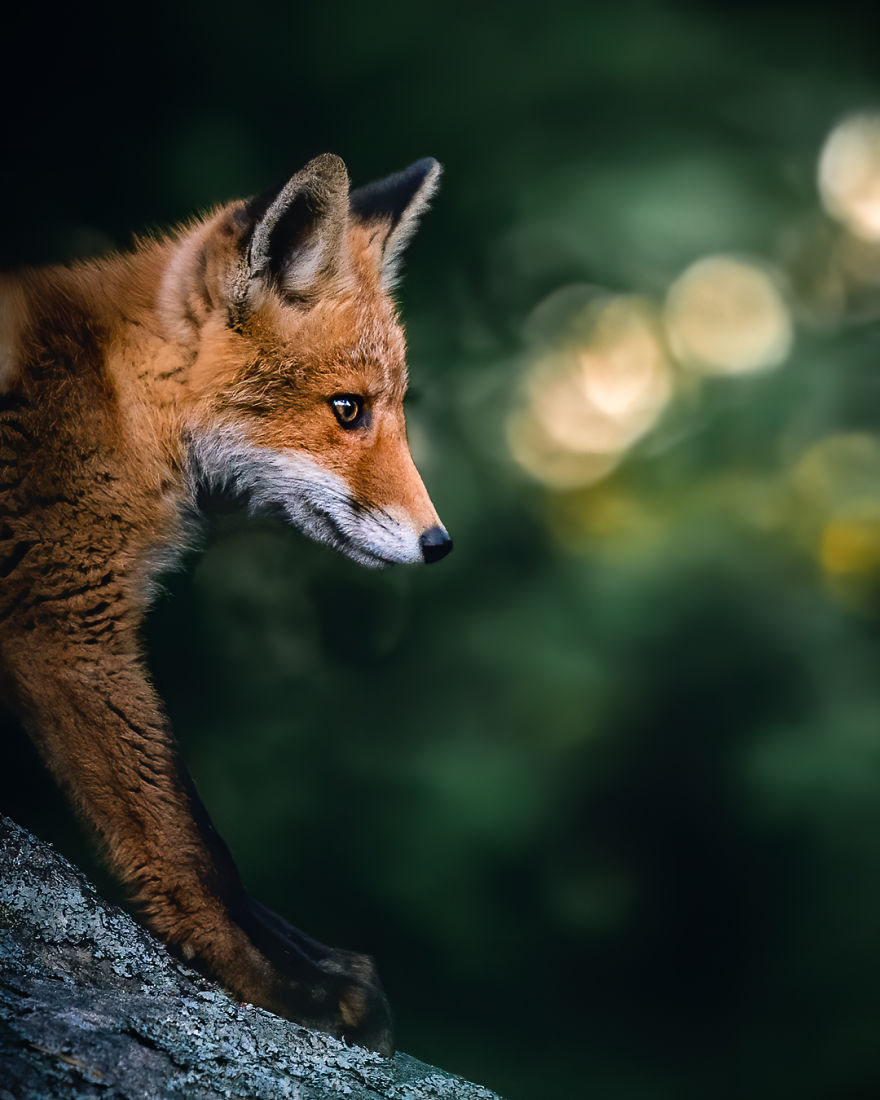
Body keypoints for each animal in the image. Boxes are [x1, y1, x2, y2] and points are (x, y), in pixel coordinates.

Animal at [0, 153, 452, 1055]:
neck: (121, 403)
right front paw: (275, 979)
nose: (439, 542)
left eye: (389, 407)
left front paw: (310, 956)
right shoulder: (66, 626)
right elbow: (184, 839)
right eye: (347, 409)